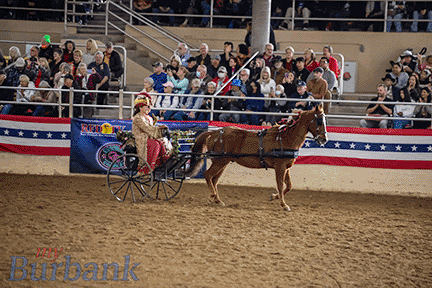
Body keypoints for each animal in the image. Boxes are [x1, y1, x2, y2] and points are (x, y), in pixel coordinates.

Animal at [184, 103, 330, 212]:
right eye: (319, 120)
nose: (324, 139)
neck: (285, 138)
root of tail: (214, 132)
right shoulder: (280, 167)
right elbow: (280, 185)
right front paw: (284, 205)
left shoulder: (287, 168)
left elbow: (289, 186)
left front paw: (273, 197)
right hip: (220, 161)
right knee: (208, 175)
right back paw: (213, 196)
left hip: (222, 162)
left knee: (214, 180)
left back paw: (217, 200)